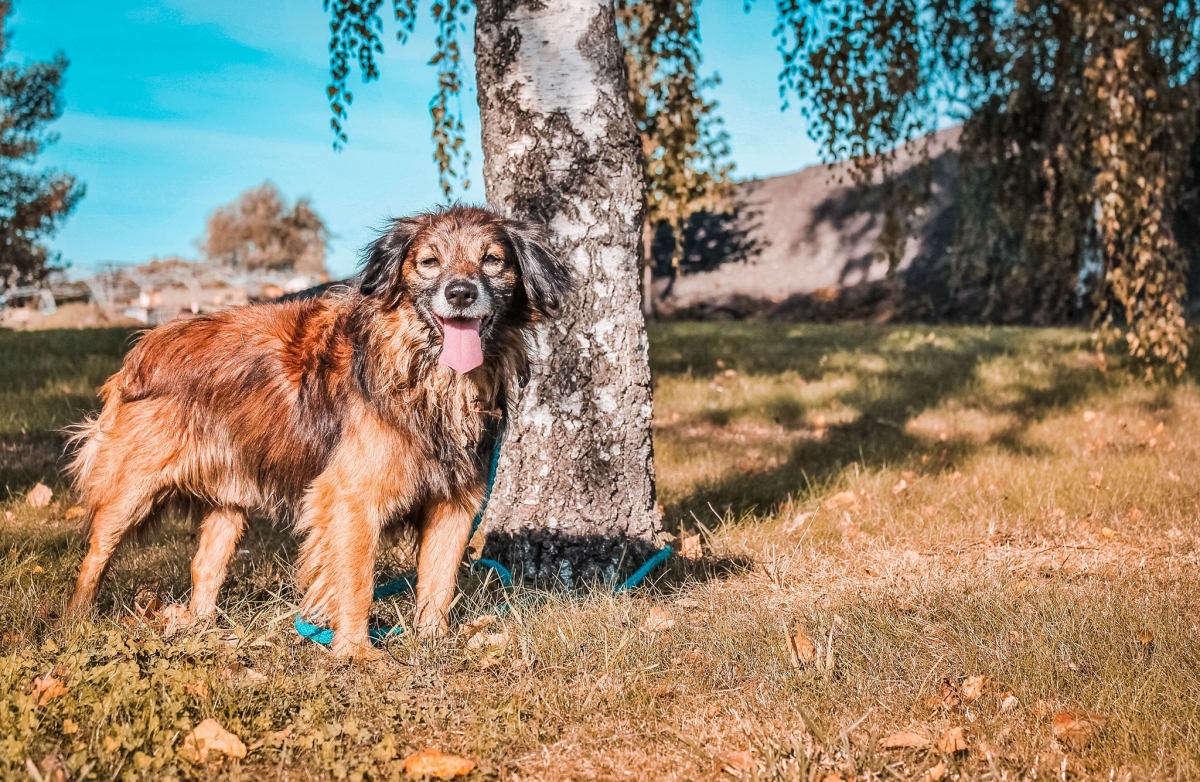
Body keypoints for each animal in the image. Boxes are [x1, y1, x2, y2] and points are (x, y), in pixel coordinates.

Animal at [65, 205, 571, 657]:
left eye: (492, 260)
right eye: (429, 262)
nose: (461, 293)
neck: (428, 376)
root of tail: (147, 343)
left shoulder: (456, 502)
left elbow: (439, 582)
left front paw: (434, 643)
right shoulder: (350, 497)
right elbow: (357, 579)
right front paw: (357, 653)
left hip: (230, 500)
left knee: (204, 566)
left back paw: (204, 629)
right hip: (131, 488)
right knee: (95, 555)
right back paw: (78, 620)